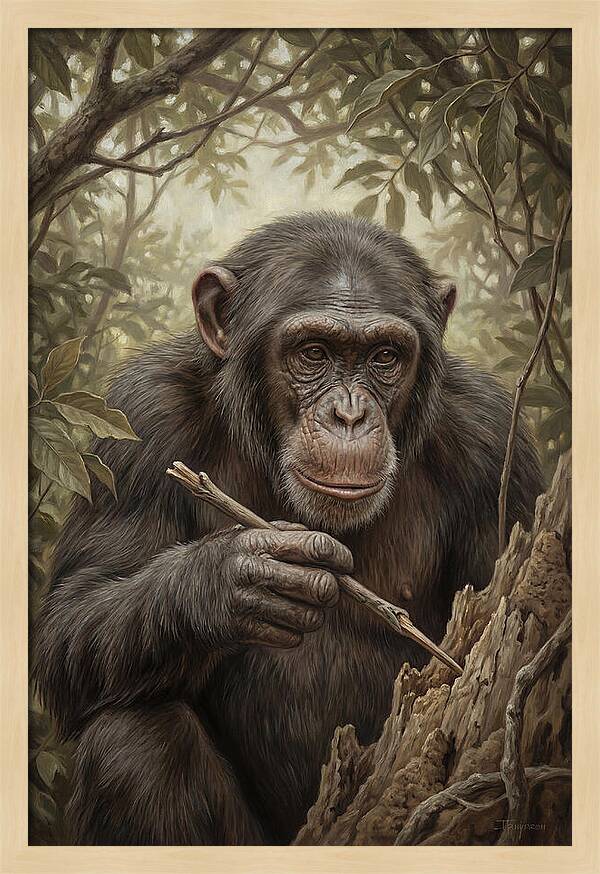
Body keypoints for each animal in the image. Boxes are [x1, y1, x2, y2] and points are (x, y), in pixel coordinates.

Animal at [32, 212, 543, 845]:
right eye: (313, 352)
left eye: (384, 358)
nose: (349, 414)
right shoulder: (140, 418)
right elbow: (71, 618)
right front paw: (234, 580)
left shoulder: (495, 445)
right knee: (133, 740)